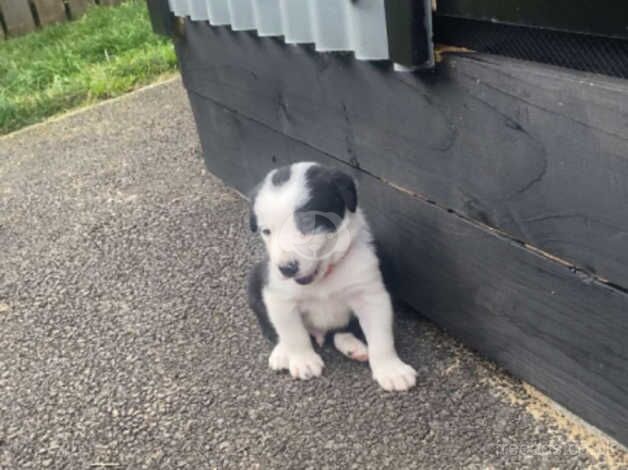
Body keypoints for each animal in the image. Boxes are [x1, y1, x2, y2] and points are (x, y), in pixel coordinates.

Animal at [247, 163, 418, 392]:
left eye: (307, 222)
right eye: (266, 231)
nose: (286, 269)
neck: (324, 276)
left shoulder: (370, 295)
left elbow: (381, 338)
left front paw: (390, 369)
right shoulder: (279, 298)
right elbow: (293, 333)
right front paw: (303, 360)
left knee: (341, 331)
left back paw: (353, 347)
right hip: (254, 282)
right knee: (274, 329)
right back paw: (282, 353)